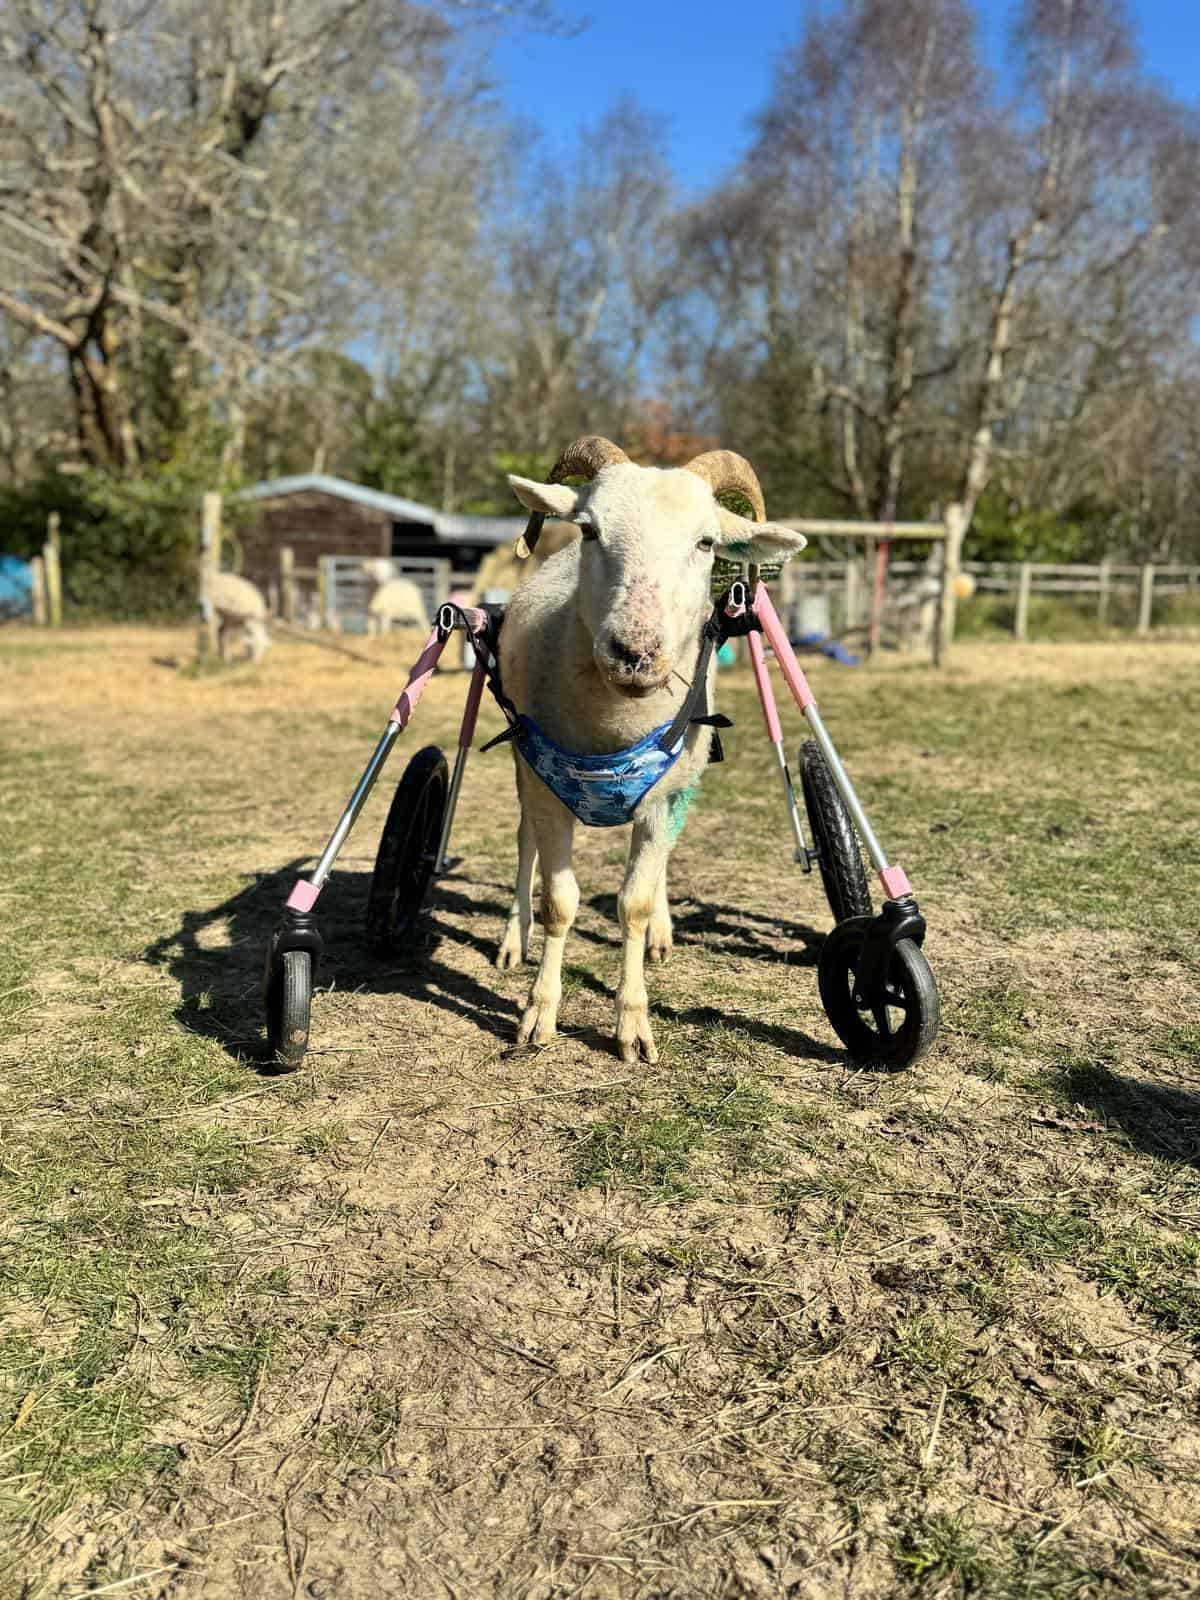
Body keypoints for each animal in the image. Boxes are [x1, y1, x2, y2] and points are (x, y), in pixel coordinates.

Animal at [496, 436, 807, 1064]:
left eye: (706, 542)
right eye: (589, 529)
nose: (634, 651)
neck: (613, 732)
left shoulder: (667, 797)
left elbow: (633, 904)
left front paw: (633, 1023)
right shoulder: (545, 788)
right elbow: (558, 902)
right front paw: (539, 1014)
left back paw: (662, 932)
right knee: (523, 846)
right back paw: (514, 938)